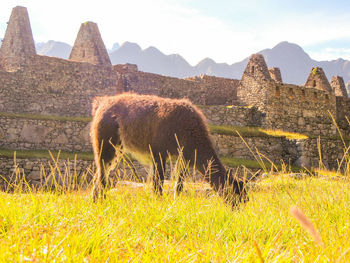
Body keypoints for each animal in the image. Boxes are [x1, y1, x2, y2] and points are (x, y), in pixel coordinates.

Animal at [91, 93, 246, 206]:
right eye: (238, 196)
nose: (238, 210)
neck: (189, 130)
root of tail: (102, 103)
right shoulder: (159, 153)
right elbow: (158, 184)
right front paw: (158, 205)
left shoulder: (183, 156)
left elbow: (179, 185)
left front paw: (174, 203)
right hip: (106, 141)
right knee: (102, 175)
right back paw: (102, 202)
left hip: (117, 148)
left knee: (99, 174)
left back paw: (95, 202)